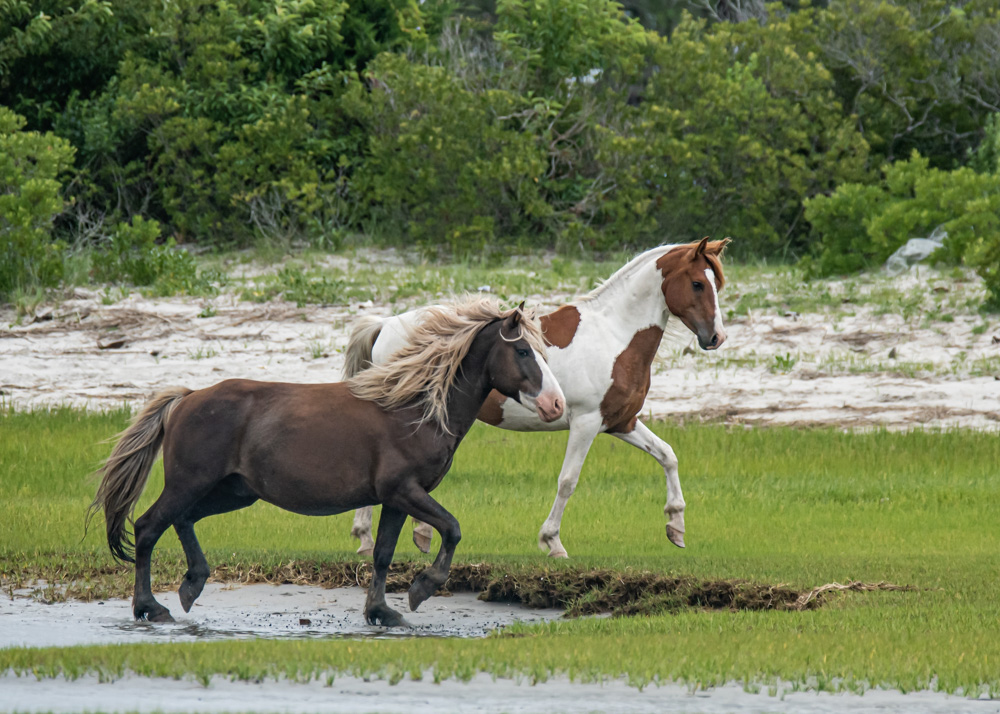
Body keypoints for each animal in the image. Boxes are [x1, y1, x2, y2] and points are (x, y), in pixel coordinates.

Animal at [88, 294, 564, 624]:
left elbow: (383, 555)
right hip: (190, 483)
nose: (556, 404)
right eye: (523, 351)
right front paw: (421, 589)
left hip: (233, 492)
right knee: (148, 527)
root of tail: (187, 398)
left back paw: (192, 585)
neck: (414, 409)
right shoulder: (404, 491)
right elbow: (452, 529)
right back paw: (149, 607)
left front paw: (380, 612)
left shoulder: (395, 499)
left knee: (182, 521)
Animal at [348, 239, 732, 556]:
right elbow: (567, 481)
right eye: (697, 283)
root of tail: (385, 325)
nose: (716, 337)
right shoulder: (586, 423)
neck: (614, 335)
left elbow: (668, 456)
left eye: (716, 284)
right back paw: (368, 538)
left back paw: (414, 533)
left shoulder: (620, 422)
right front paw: (552, 541)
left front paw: (676, 527)